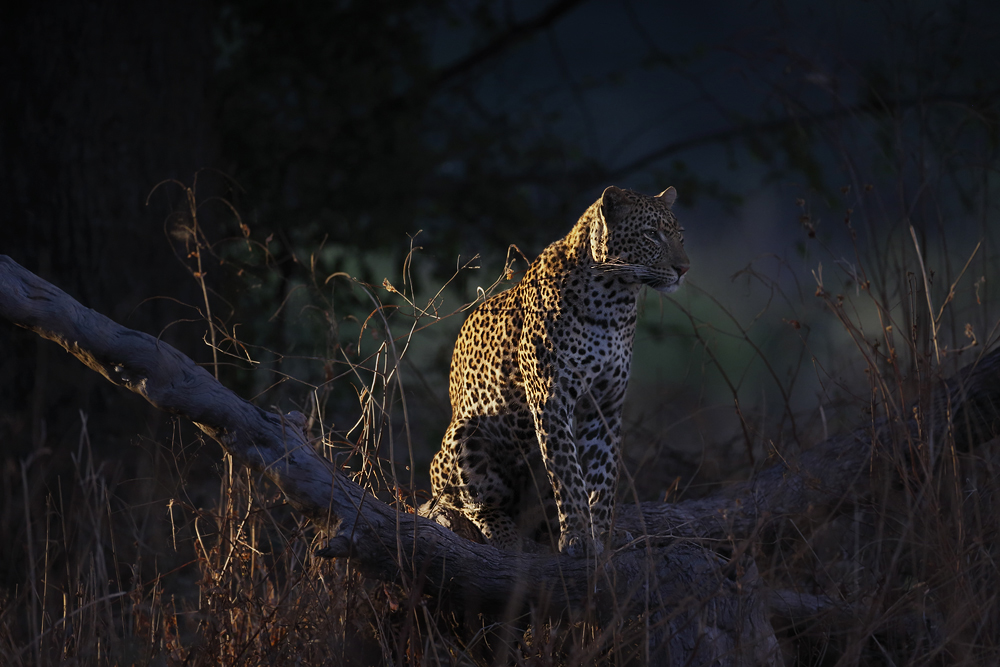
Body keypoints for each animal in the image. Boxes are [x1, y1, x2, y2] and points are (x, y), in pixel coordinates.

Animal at [426, 184, 692, 560]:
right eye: (651, 234)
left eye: (679, 235)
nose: (684, 268)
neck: (615, 300)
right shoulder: (552, 398)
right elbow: (568, 474)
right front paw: (579, 537)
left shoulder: (605, 407)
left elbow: (602, 477)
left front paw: (603, 536)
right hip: (465, 434)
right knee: (471, 504)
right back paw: (508, 537)